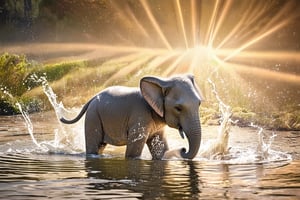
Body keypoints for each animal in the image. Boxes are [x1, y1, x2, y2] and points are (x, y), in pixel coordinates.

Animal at [59, 74, 203, 160]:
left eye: (199, 103)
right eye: (178, 108)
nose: (183, 149)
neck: (162, 81)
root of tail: (93, 98)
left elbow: (160, 149)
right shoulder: (139, 117)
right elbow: (133, 153)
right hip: (93, 116)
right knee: (93, 146)